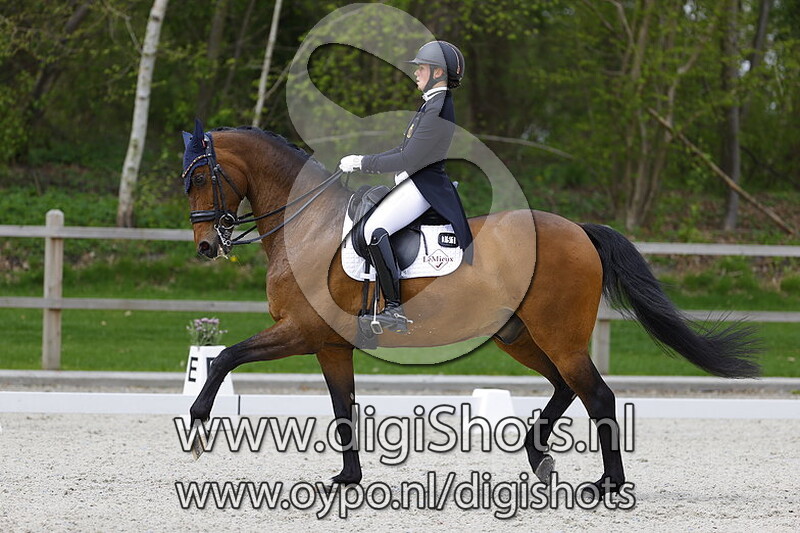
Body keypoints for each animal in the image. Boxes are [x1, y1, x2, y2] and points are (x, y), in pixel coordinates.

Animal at [182, 124, 760, 497]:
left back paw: (607, 485)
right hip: (519, 335)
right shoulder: (328, 343)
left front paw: (197, 428)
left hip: (558, 334)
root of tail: (578, 229)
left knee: (597, 395)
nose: (207, 246)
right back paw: (539, 456)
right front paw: (348, 480)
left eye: (202, 179)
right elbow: (343, 408)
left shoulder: (300, 330)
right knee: (565, 386)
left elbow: (224, 357)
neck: (309, 228)